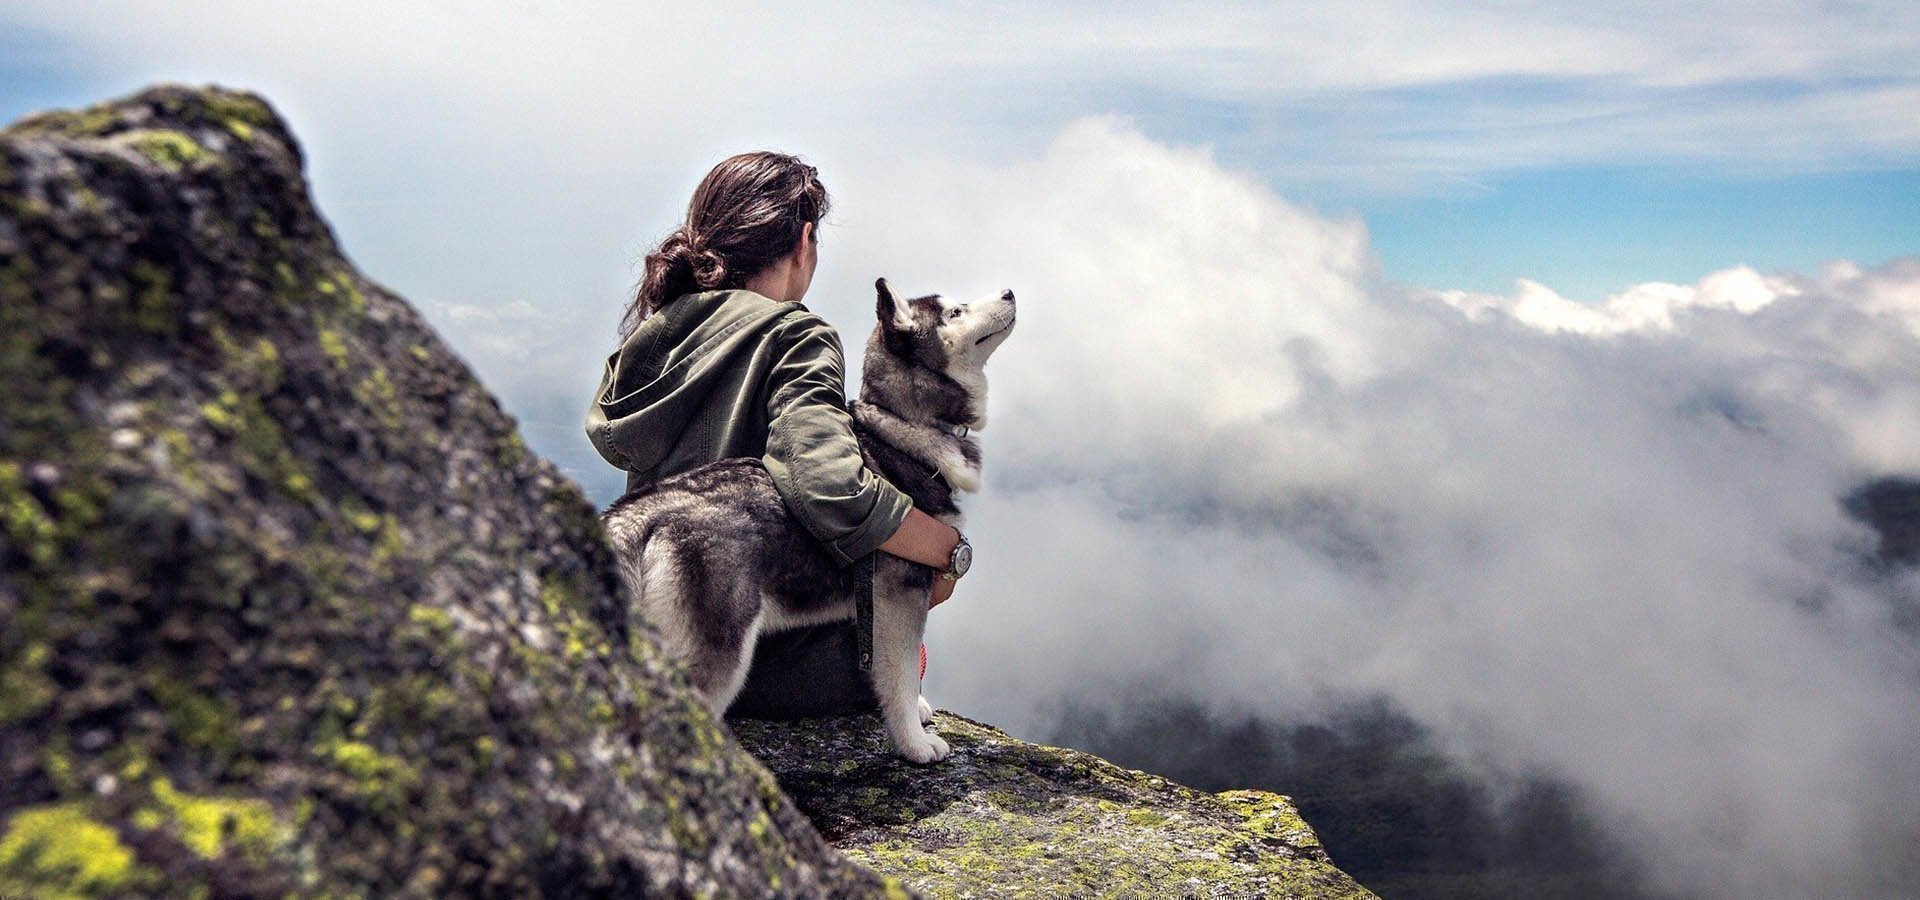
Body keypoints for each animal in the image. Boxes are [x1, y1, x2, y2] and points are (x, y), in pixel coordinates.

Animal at [606, 276, 1013, 759]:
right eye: (955, 312)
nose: (1010, 293)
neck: (901, 427)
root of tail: (641, 511)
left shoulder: (874, 609)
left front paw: (916, 709)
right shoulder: (901, 597)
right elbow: (900, 673)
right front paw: (913, 743)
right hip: (719, 649)